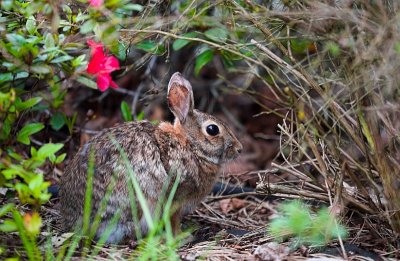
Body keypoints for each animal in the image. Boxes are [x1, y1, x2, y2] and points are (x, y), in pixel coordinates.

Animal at [58, 72, 241, 243]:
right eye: (212, 129)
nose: (239, 149)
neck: (190, 144)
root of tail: (78, 220)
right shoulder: (175, 196)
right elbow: (173, 220)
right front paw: (181, 237)